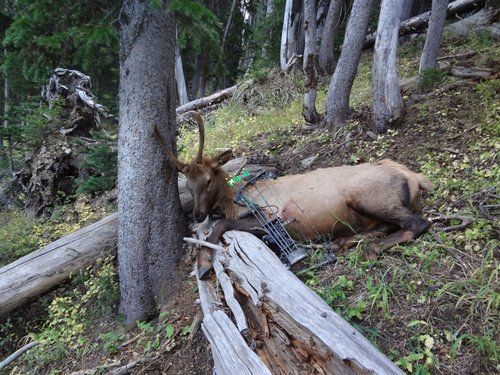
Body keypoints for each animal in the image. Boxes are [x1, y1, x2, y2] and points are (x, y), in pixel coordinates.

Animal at [152, 111, 434, 280]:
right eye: (188, 186)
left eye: (208, 181)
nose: (198, 214)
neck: (233, 198)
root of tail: (413, 177)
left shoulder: (268, 218)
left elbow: (220, 225)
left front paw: (203, 263)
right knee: (388, 223)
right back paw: (340, 242)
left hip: (367, 196)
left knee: (417, 222)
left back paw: (369, 249)